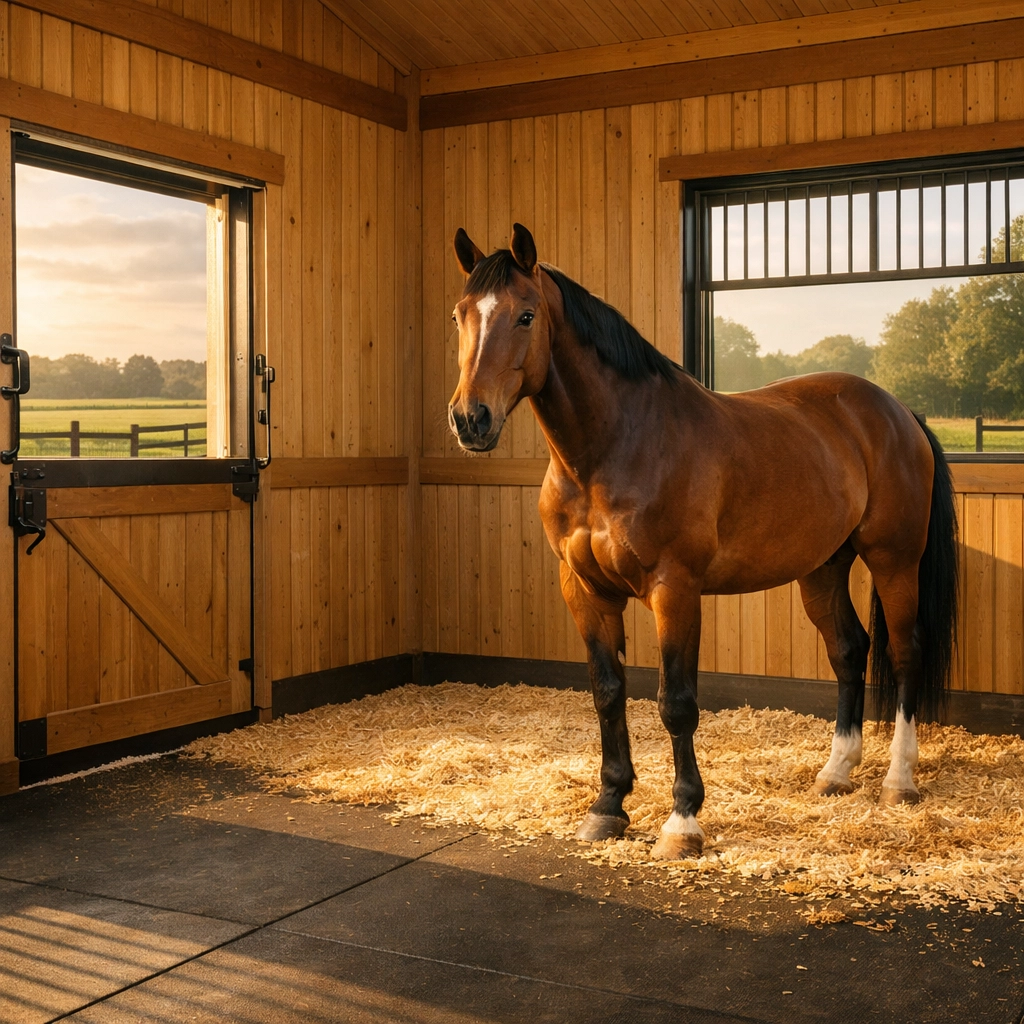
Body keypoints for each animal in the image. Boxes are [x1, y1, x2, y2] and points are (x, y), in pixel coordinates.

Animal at [447, 222, 959, 860]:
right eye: (459, 315)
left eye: (525, 315)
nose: (471, 419)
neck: (617, 446)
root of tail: (897, 410)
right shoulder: (584, 590)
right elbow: (607, 692)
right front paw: (607, 807)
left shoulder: (675, 590)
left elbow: (677, 703)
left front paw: (682, 822)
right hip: (822, 567)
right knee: (849, 650)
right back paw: (836, 773)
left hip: (894, 560)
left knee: (905, 651)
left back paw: (898, 781)